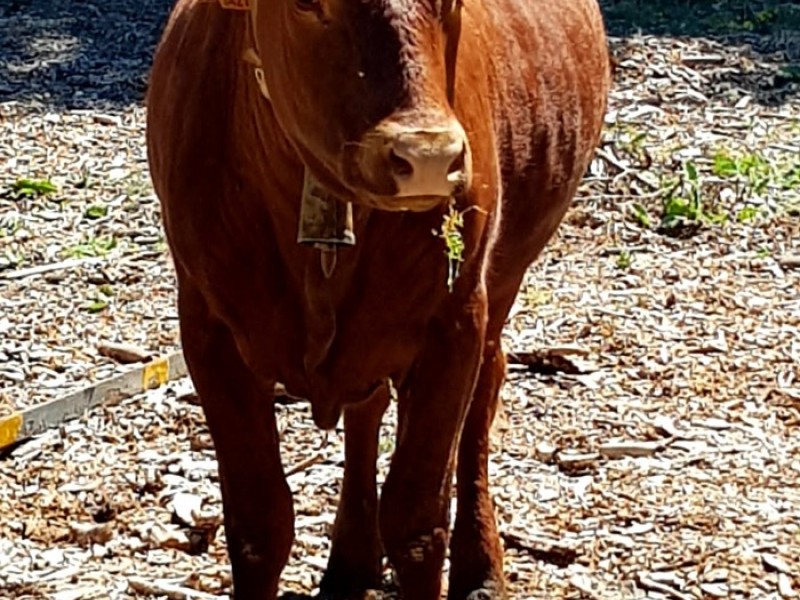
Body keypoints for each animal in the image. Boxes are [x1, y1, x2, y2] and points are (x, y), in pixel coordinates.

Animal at [147, 0, 608, 596]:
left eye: (454, 3)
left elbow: (416, 522)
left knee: (482, 399)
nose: (429, 154)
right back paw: (351, 563)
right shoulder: (208, 328)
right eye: (305, 4)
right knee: (367, 413)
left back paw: (480, 568)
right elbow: (258, 524)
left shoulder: (454, 321)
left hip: (502, 283)